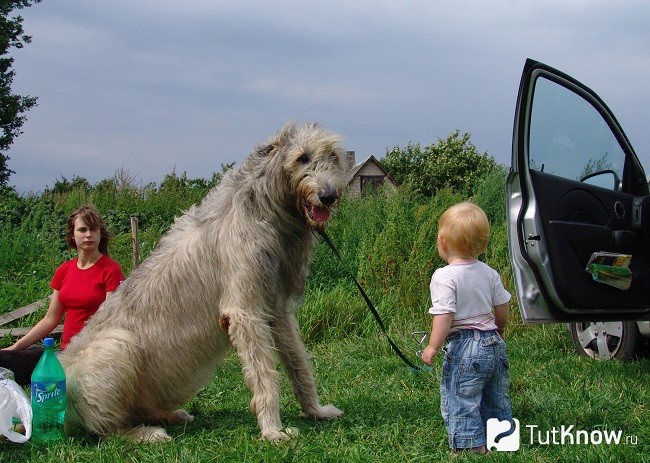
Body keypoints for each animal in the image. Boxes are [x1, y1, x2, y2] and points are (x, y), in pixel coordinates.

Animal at [58, 120, 346, 442]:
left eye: (333, 155)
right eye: (302, 158)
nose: (329, 195)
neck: (265, 210)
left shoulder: (277, 307)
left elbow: (298, 362)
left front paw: (315, 410)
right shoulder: (245, 311)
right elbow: (264, 374)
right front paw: (272, 428)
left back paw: (170, 415)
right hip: (116, 347)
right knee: (104, 430)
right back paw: (144, 434)